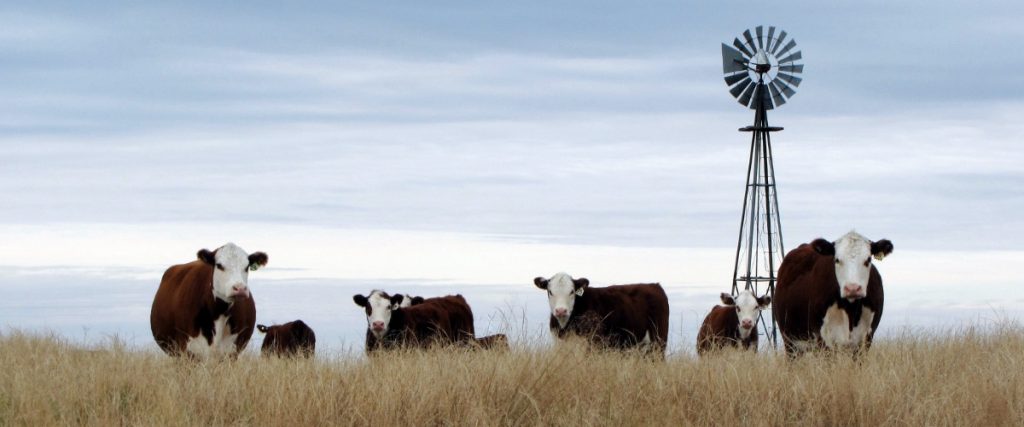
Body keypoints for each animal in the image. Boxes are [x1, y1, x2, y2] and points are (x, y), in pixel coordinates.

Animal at [532, 270, 667, 354]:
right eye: (550, 292)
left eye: (572, 291)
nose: (561, 310)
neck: (565, 327)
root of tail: (654, 285)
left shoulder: (592, 343)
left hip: (658, 341)